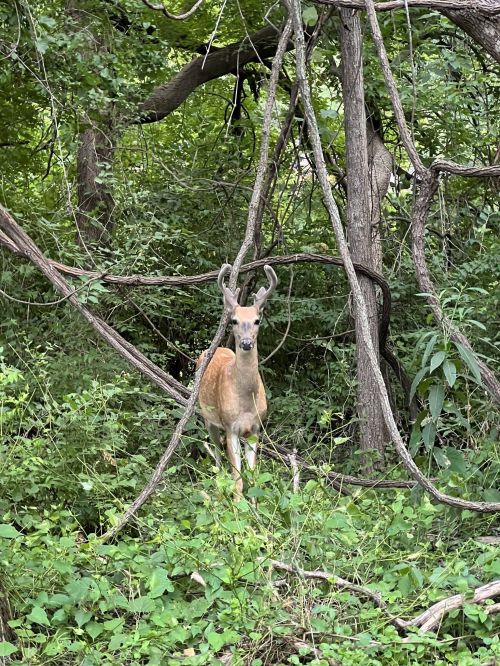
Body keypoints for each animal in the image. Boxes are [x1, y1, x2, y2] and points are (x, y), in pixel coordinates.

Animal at [196, 263, 278, 498]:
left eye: (257, 320)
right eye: (234, 321)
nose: (247, 343)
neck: (246, 401)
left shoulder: (256, 428)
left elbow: (253, 477)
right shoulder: (230, 426)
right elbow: (238, 479)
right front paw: (237, 504)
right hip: (208, 418)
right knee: (216, 451)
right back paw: (218, 488)